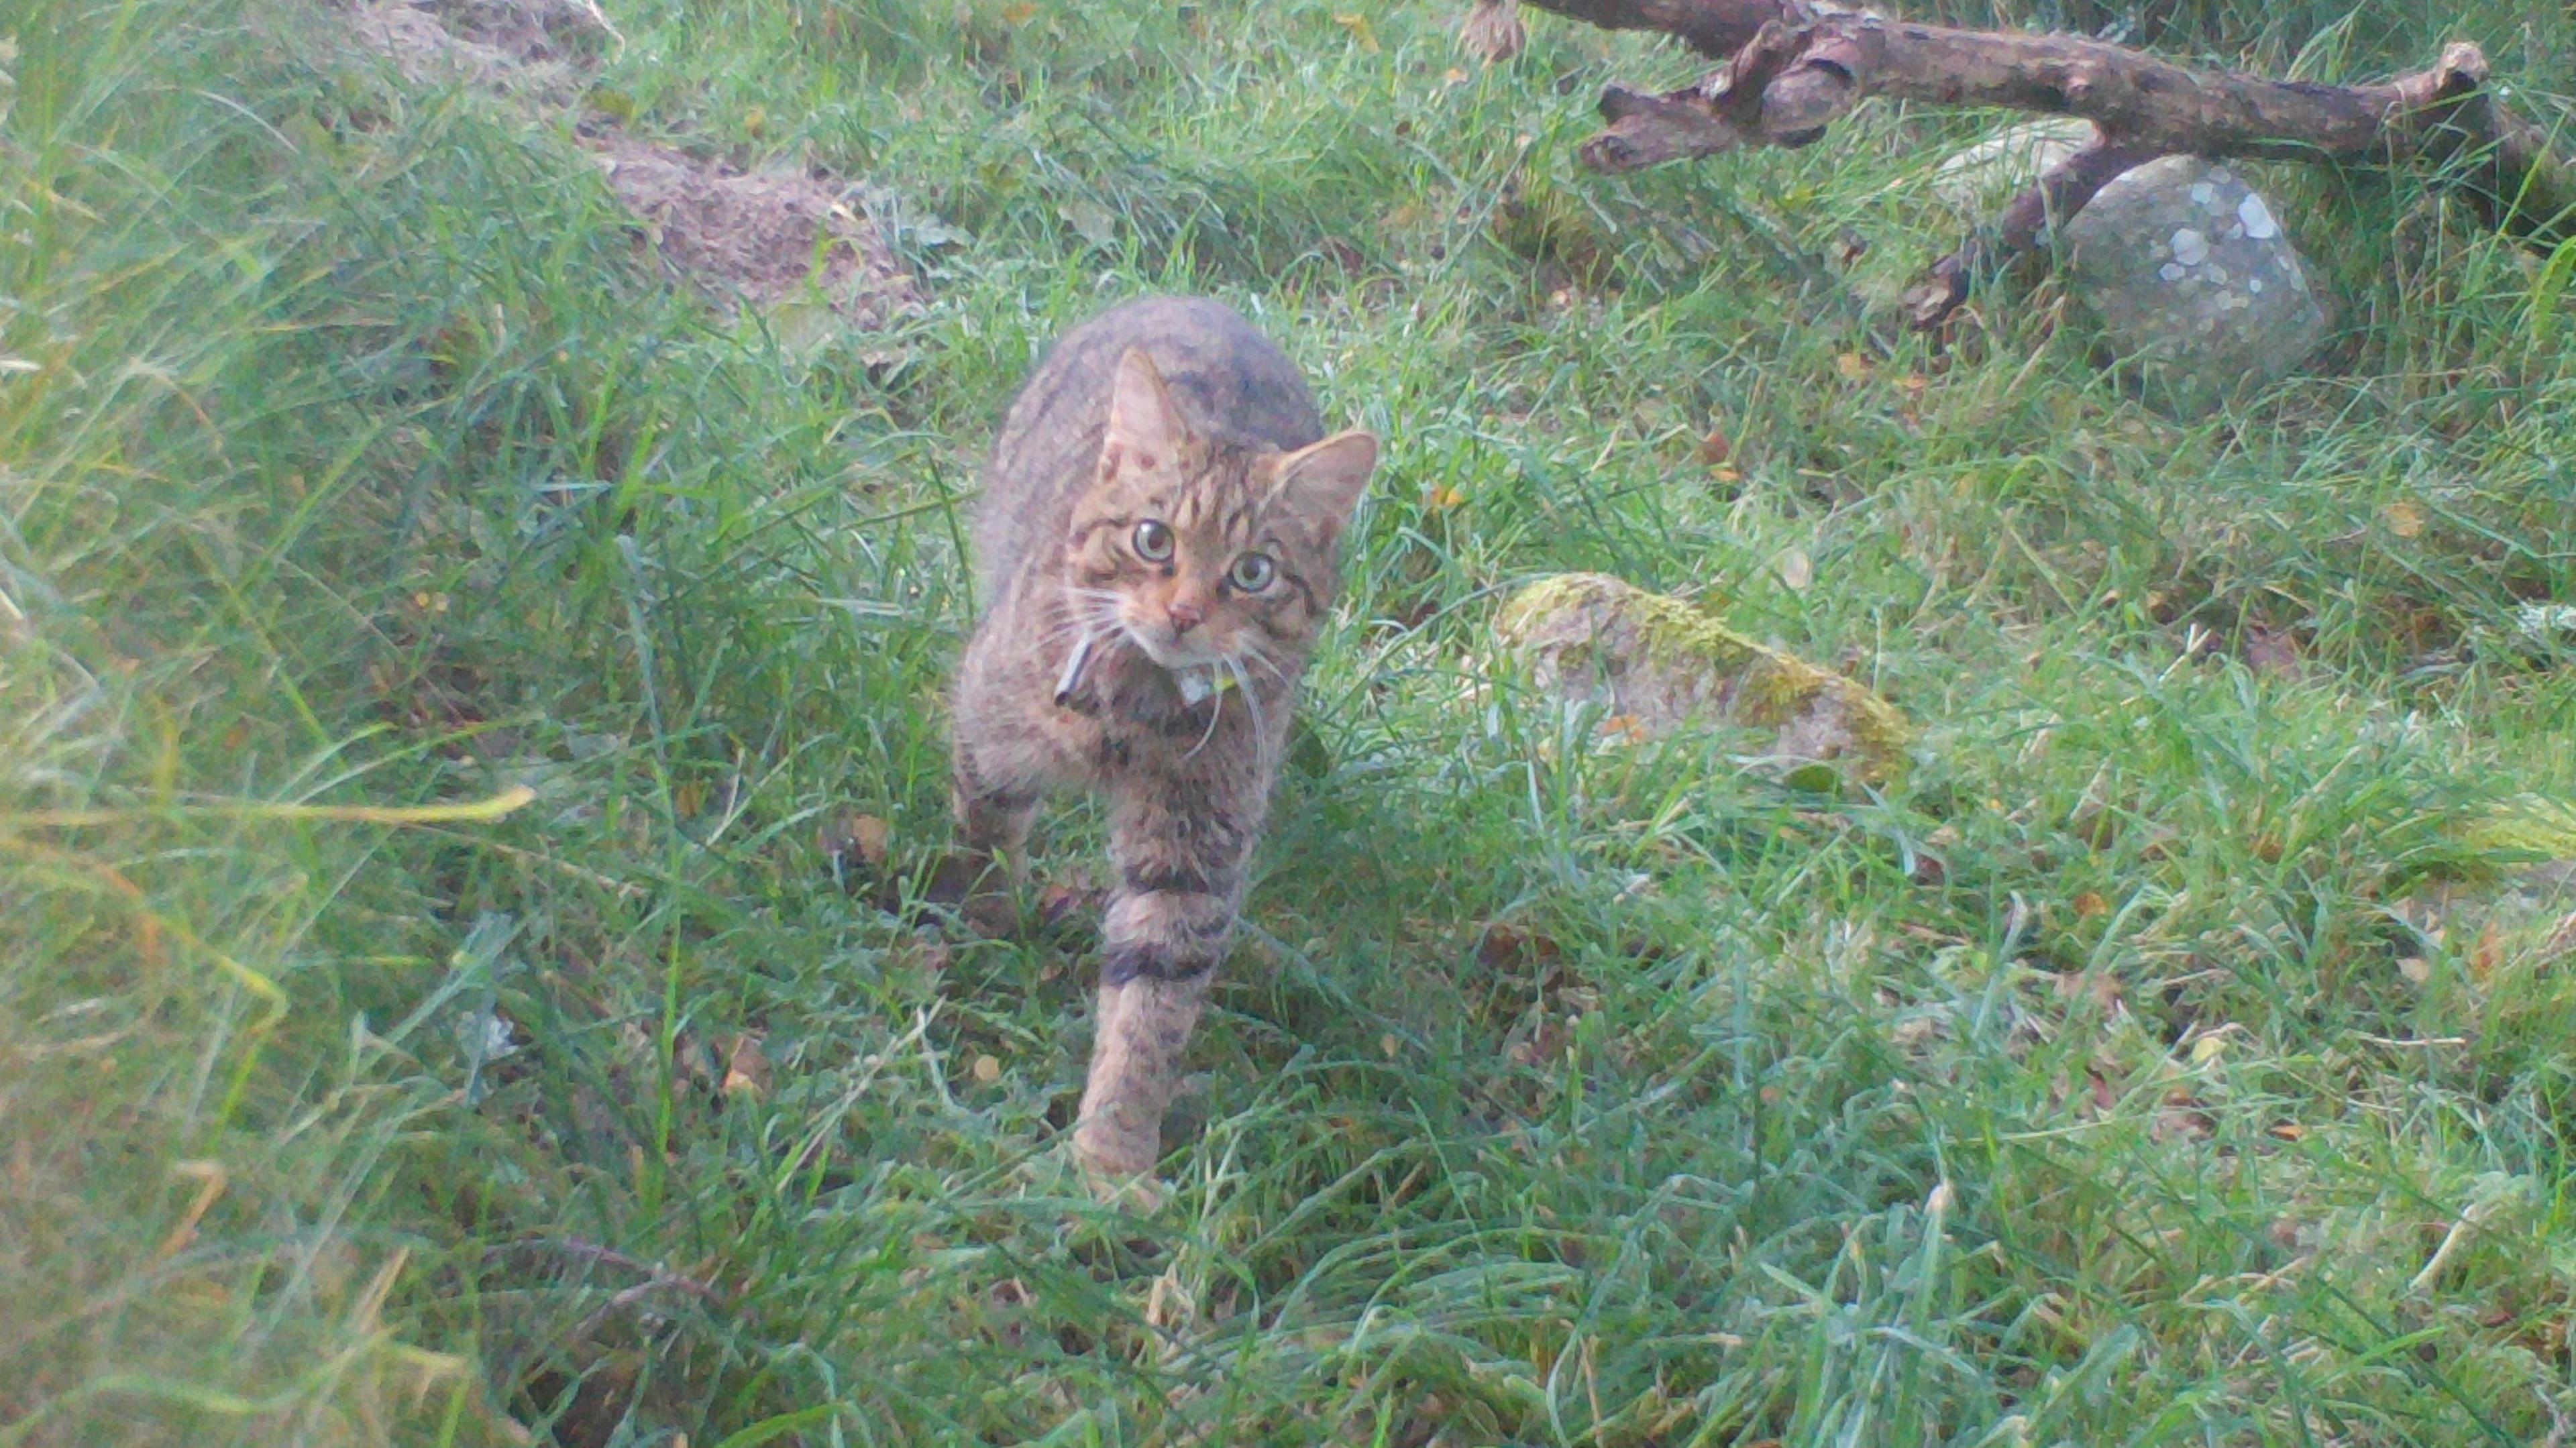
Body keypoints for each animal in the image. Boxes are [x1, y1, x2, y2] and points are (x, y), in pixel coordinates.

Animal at [948, 293, 1381, 1185]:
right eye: (1155, 539)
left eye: (1253, 572)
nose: (1183, 613)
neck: (1131, 712)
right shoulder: (989, 723)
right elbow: (986, 827)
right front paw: (985, 921)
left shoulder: (1191, 854)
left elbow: (1151, 1005)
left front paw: (1111, 1159)